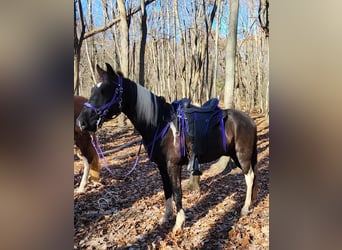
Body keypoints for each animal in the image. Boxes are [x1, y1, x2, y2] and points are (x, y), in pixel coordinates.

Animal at [75, 64, 256, 232]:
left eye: (105, 91)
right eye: (93, 89)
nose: (81, 122)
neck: (160, 124)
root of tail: (249, 120)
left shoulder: (173, 165)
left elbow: (177, 191)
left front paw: (179, 223)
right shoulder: (161, 166)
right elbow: (167, 190)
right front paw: (166, 217)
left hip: (242, 156)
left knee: (250, 177)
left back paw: (245, 208)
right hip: (235, 156)